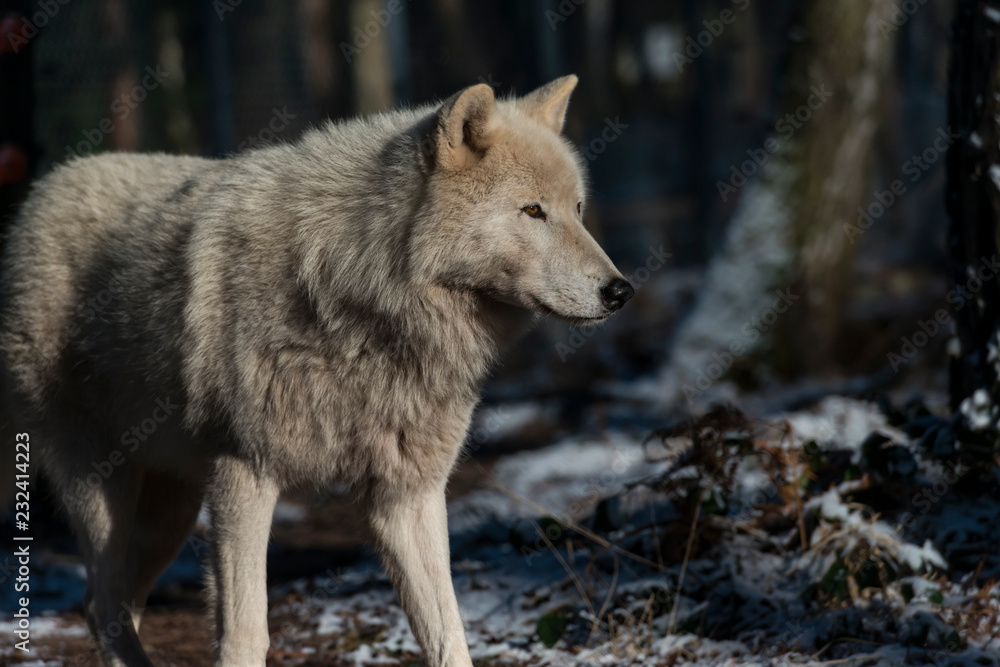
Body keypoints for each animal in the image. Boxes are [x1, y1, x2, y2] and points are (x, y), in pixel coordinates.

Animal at [0, 75, 632, 664]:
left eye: (578, 210)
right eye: (533, 210)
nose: (621, 291)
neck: (357, 292)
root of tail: (42, 192)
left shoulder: (408, 494)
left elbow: (447, 633)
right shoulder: (244, 472)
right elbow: (245, 634)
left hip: (169, 510)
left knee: (118, 605)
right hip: (103, 487)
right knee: (100, 603)